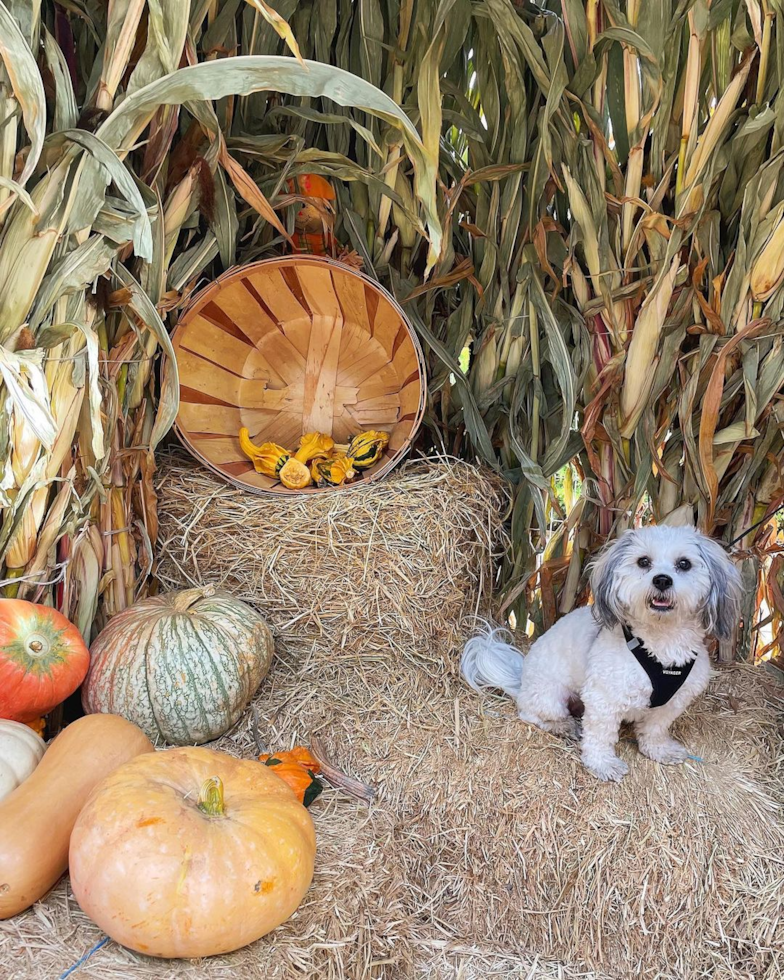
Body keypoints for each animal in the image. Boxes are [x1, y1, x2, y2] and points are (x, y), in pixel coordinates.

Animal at [460, 524, 740, 784]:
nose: (662, 580)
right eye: (643, 562)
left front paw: (659, 750)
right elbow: (600, 735)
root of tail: (521, 683)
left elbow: (655, 728)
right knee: (531, 714)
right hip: (550, 696)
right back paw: (564, 726)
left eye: (684, 564)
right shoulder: (604, 698)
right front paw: (603, 764)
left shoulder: (673, 701)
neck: (661, 644)